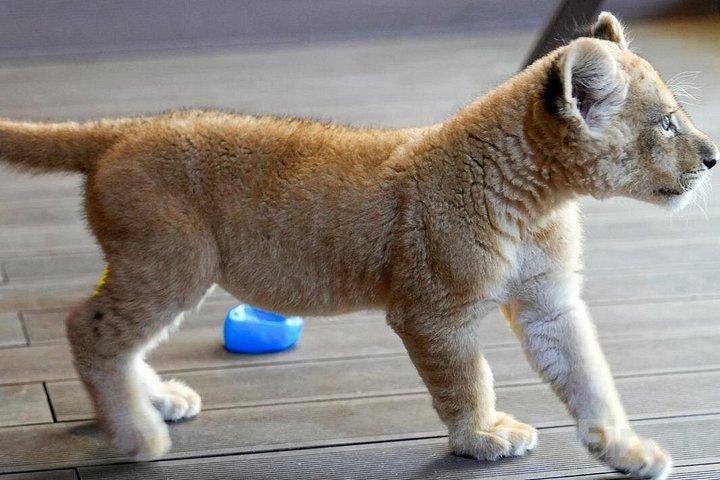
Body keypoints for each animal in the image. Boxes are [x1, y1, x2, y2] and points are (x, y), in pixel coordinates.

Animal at [0, 11, 716, 479]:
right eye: (665, 123)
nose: (713, 157)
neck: (541, 199)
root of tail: (124, 129)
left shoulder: (550, 303)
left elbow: (590, 377)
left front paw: (628, 452)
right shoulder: (430, 313)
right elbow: (467, 378)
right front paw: (480, 437)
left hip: (165, 266)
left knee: (114, 332)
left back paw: (155, 402)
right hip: (171, 261)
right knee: (90, 328)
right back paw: (137, 435)